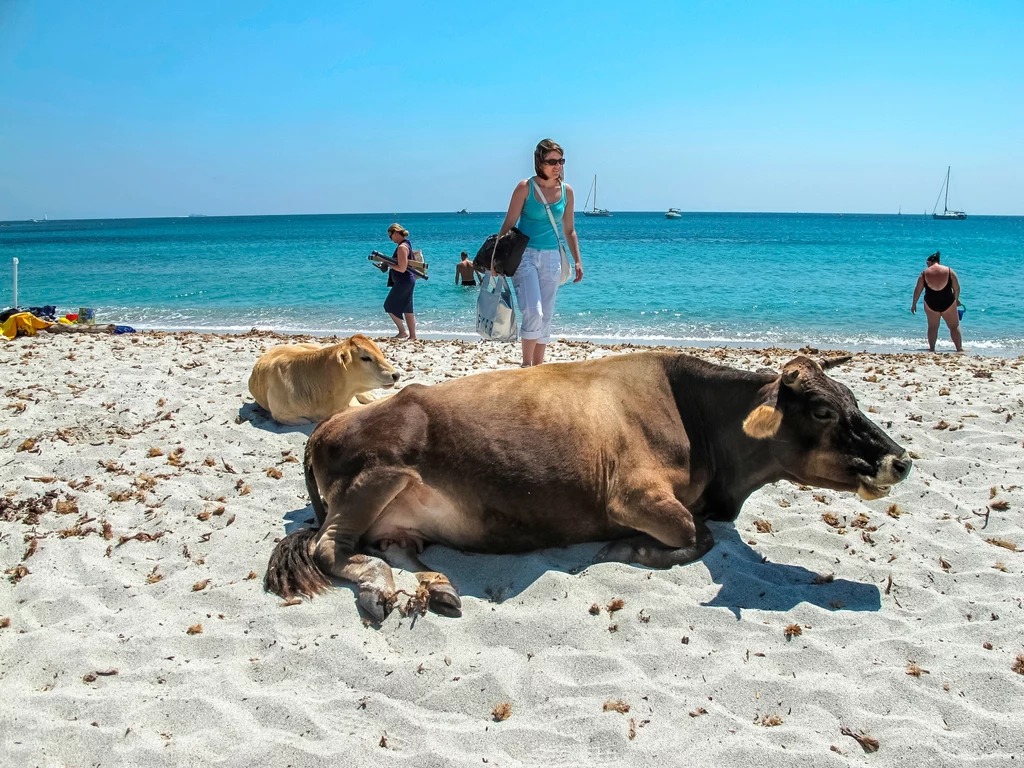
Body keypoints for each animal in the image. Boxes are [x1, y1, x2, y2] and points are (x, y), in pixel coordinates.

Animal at [266, 352, 913, 622]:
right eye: (823, 411)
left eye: (853, 400)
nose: (901, 460)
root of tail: (325, 426)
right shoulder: (633, 495)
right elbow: (695, 535)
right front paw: (627, 549)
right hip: (378, 472)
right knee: (329, 549)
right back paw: (382, 589)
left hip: (398, 514)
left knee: (393, 547)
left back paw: (435, 587)